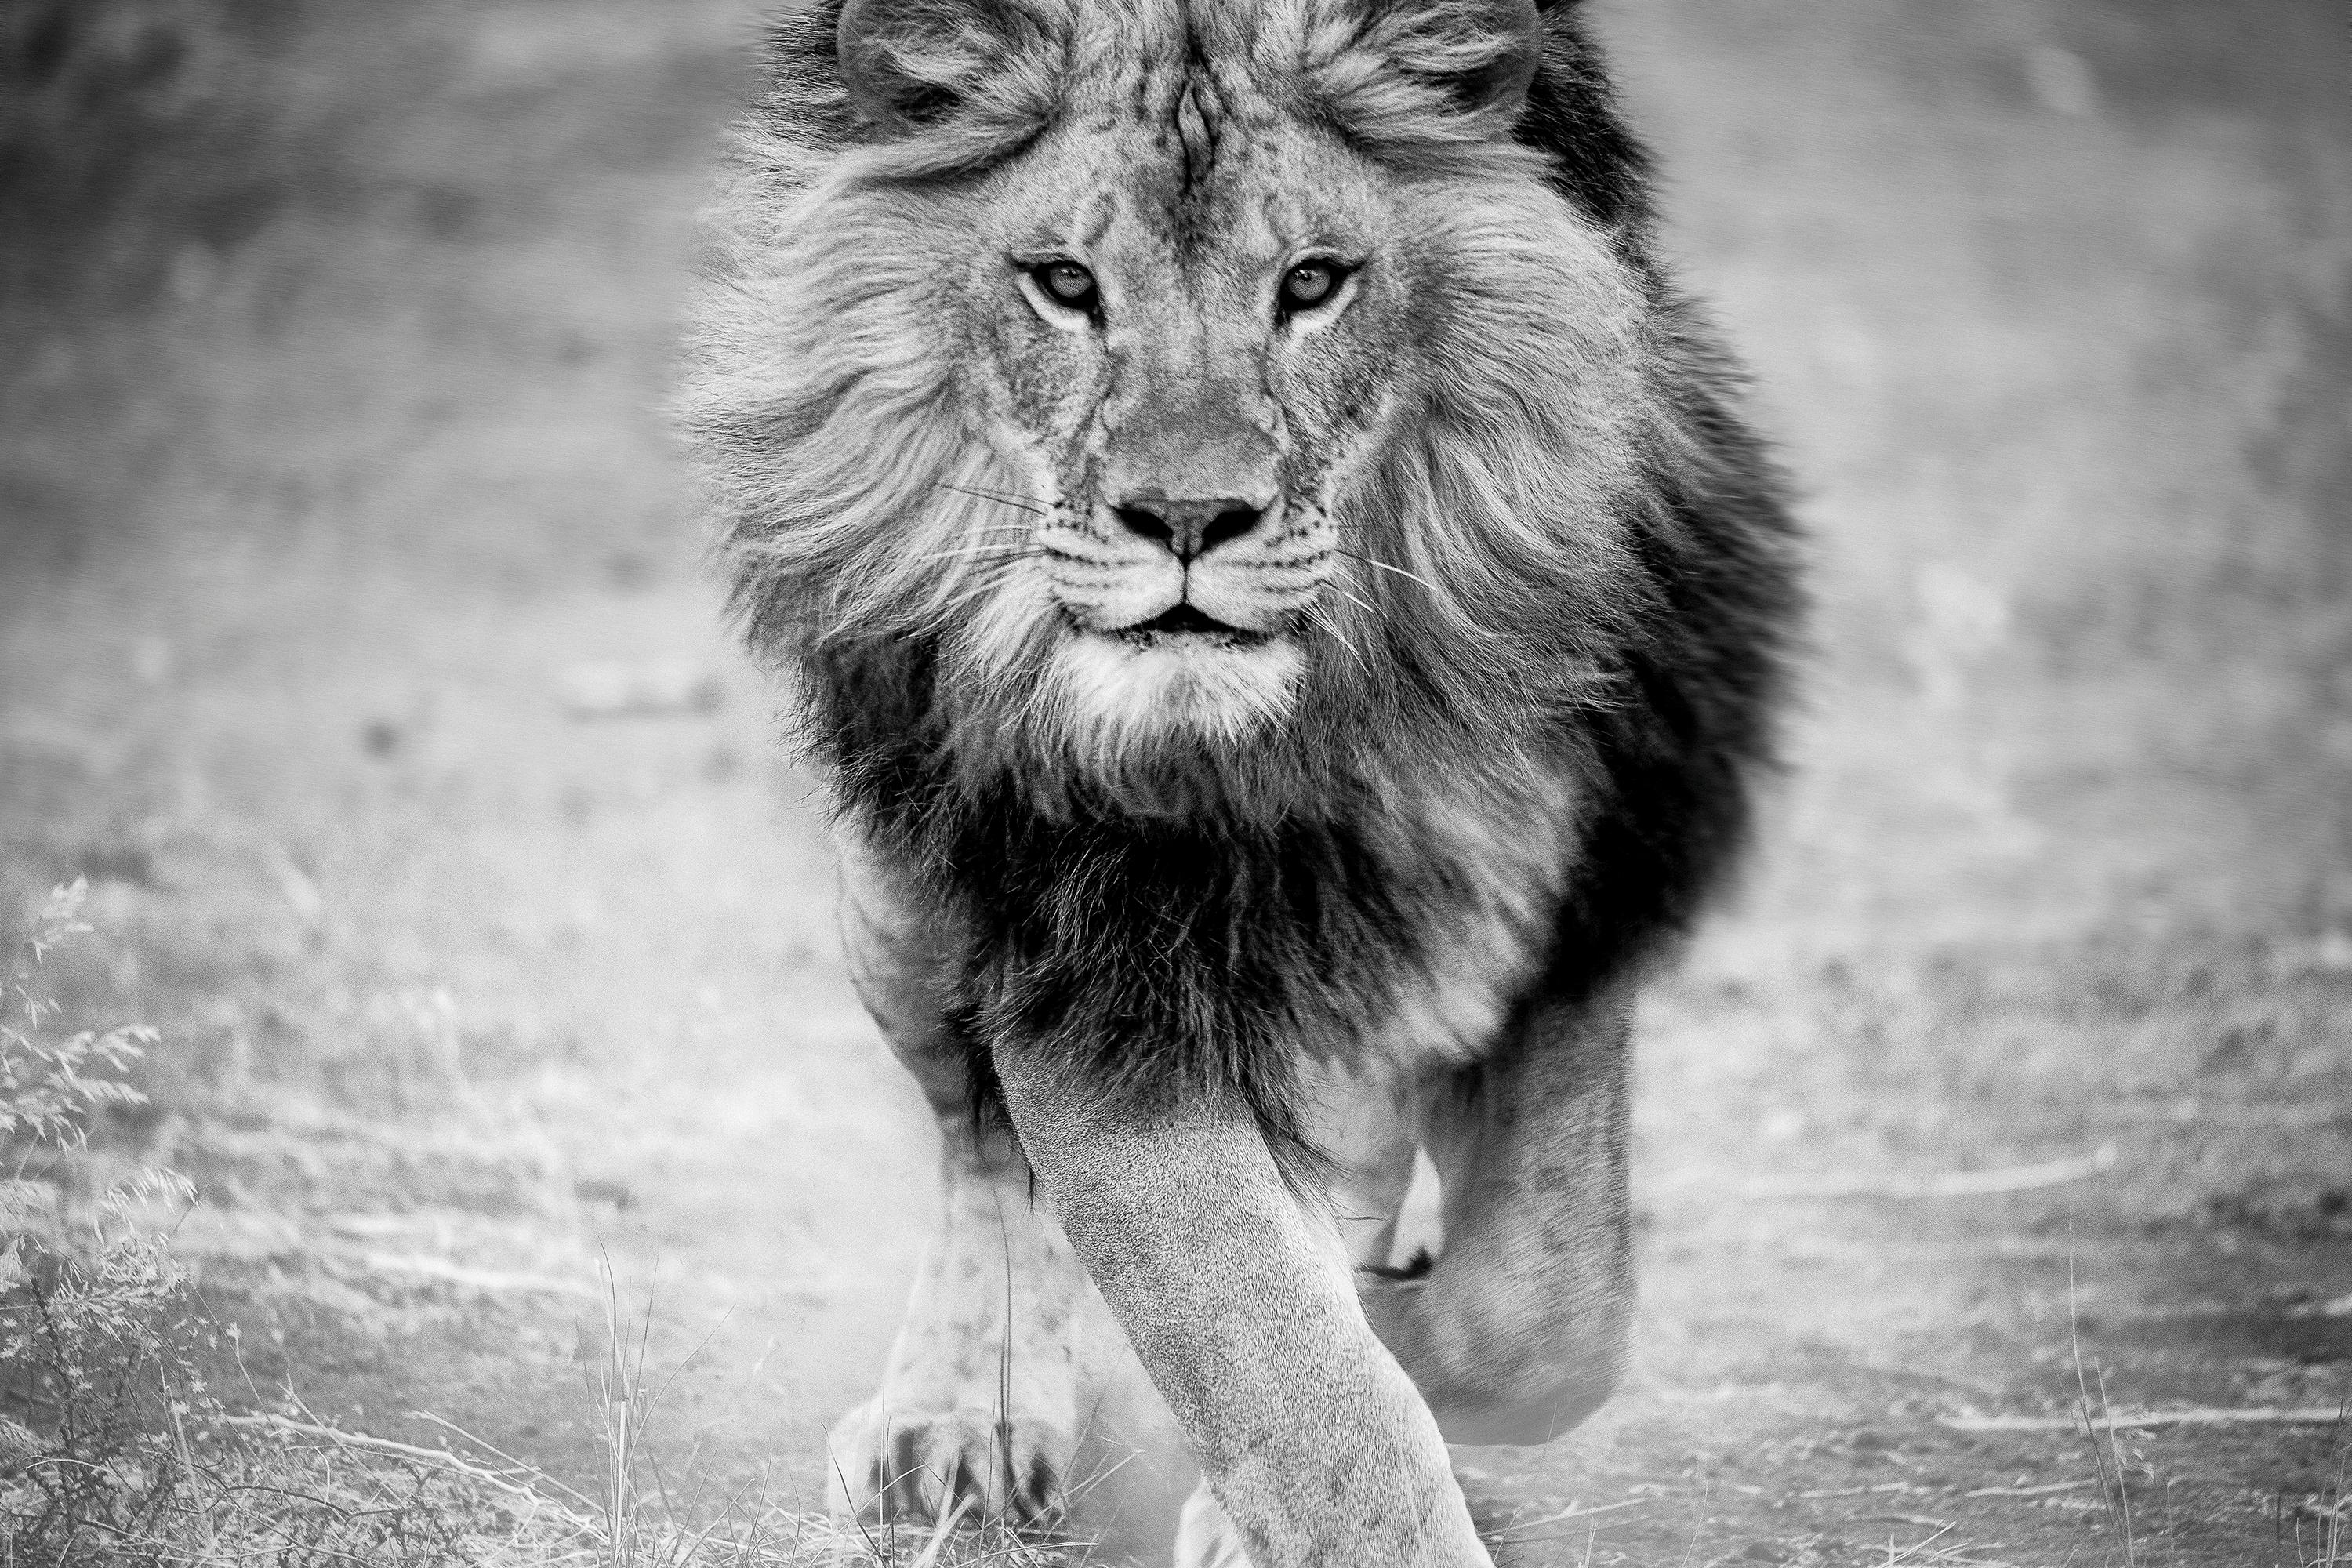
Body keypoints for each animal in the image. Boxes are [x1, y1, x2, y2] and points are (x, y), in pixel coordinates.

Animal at [682, 2, 1797, 1568]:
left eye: (1314, 284)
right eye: (1066, 286)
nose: (1189, 518)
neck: (1303, 743)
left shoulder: (1586, 907)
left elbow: (1547, 1309)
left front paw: (1405, 1340)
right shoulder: (1090, 986)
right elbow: (1290, 1374)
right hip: (902, 908)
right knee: (979, 1143)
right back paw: (961, 1425)